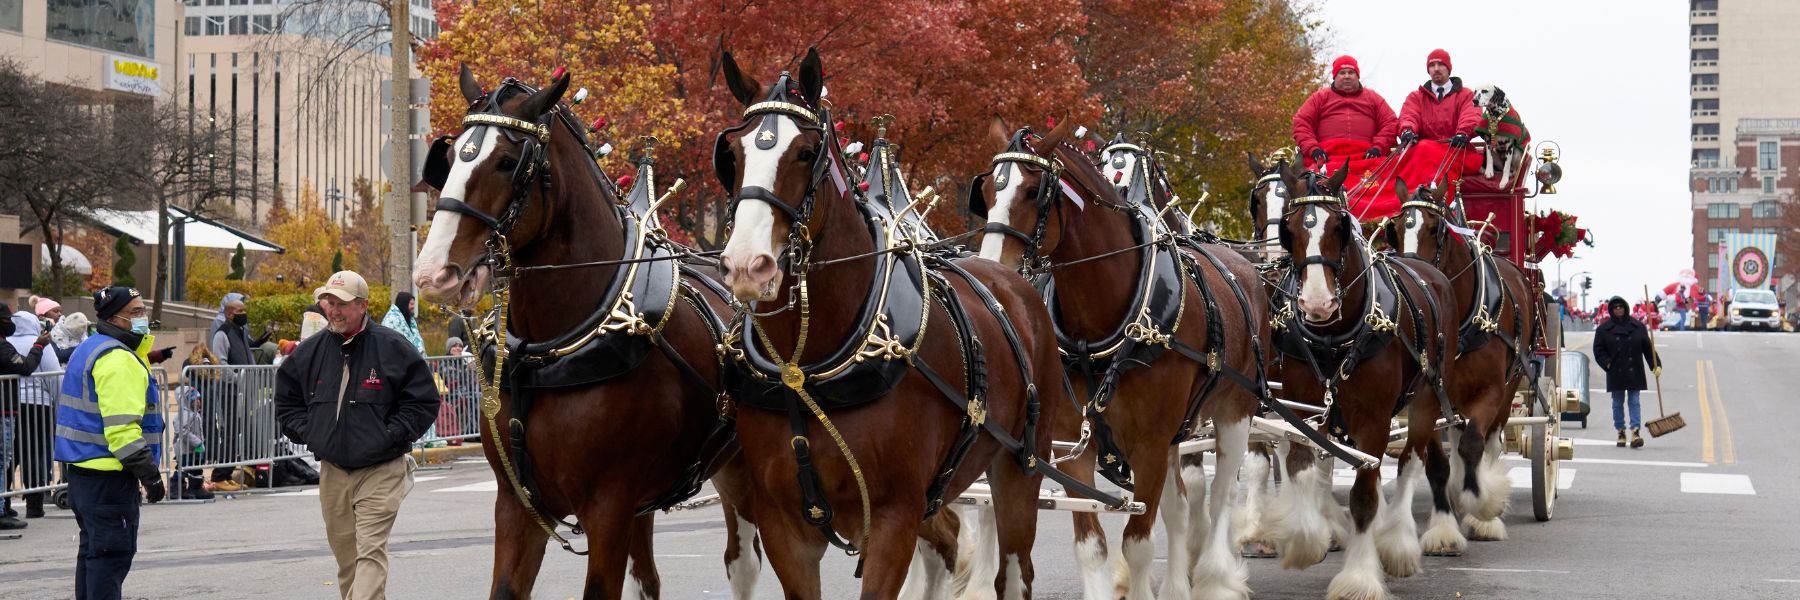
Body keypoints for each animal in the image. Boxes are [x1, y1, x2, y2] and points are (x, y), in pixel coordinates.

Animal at [412, 67, 756, 594]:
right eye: (447, 160)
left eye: (508, 162)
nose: (433, 272)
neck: (549, 349)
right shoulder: (517, 505)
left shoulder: (608, 508)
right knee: (650, 577)